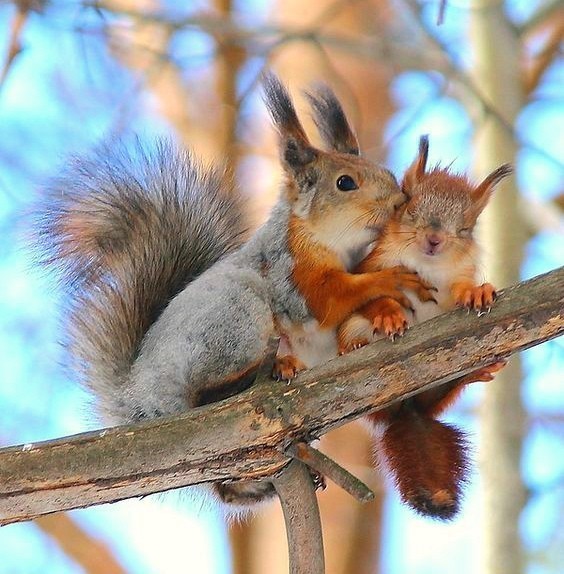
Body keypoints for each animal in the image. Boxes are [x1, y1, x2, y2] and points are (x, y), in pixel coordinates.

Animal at [37, 75, 430, 512]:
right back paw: (267, 371)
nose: (399, 201)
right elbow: (330, 297)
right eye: (345, 182)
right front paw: (390, 279)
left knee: (227, 489)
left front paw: (386, 314)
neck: (336, 245)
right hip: (235, 316)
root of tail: (137, 397)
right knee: (205, 394)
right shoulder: (293, 274)